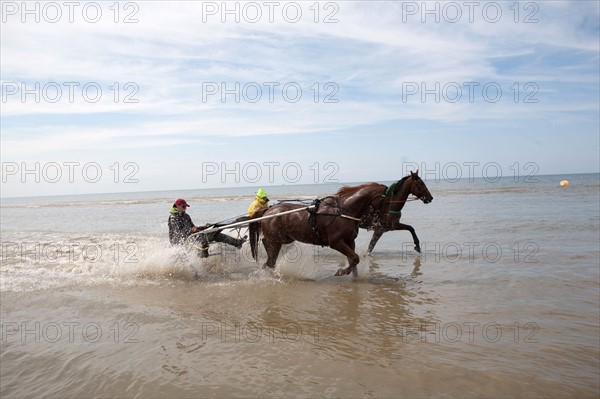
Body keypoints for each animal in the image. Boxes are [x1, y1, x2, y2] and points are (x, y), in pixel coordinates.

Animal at [250, 183, 390, 276]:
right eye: (388, 201)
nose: (384, 222)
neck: (343, 211)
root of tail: (268, 210)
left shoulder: (350, 241)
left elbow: (353, 259)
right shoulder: (335, 242)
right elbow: (355, 258)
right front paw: (342, 271)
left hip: (285, 239)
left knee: (268, 251)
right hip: (276, 240)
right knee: (270, 257)